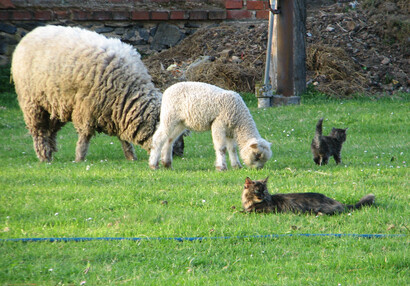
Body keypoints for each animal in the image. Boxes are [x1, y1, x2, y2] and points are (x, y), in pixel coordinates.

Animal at [11, 25, 184, 161]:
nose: (179, 155)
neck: (127, 90)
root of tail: (32, 33)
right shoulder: (86, 108)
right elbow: (84, 136)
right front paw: (79, 158)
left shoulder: (117, 111)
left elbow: (123, 139)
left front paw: (131, 157)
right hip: (32, 103)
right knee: (38, 130)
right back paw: (44, 156)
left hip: (55, 102)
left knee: (51, 129)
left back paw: (51, 150)